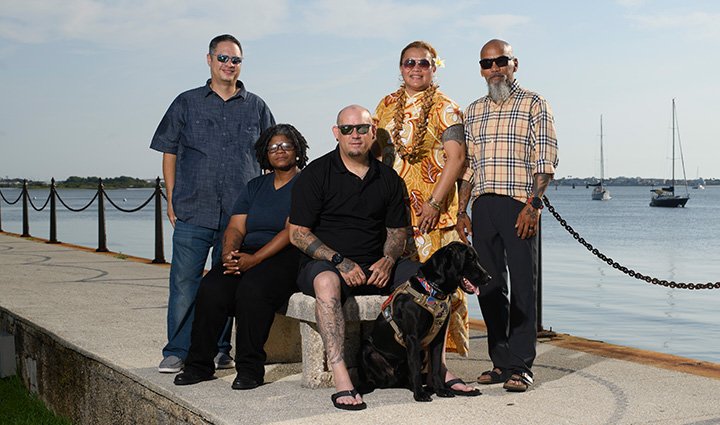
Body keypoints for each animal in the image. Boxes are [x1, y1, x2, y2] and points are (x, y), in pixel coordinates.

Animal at [358, 242, 492, 400]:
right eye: (470, 258)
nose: (489, 277)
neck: (432, 290)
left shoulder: (438, 337)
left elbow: (436, 367)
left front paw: (441, 390)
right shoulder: (412, 338)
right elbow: (415, 369)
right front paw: (420, 394)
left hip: (419, 352)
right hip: (367, 349)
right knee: (384, 379)